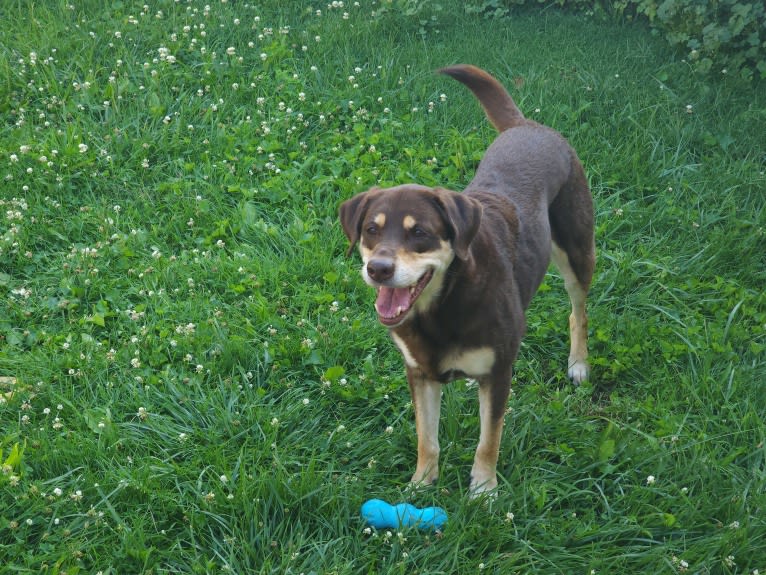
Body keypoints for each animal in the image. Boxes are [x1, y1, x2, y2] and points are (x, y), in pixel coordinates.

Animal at [340, 63, 596, 496]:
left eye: (419, 232)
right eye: (371, 230)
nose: (378, 269)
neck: (442, 307)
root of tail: (527, 125)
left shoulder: (497, 373)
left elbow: (488, 439)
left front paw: (483, 492)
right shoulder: (419, 373)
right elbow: (427, 438)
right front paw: (420, 485)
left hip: (577, 252)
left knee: (578, 310)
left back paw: (578, 363)